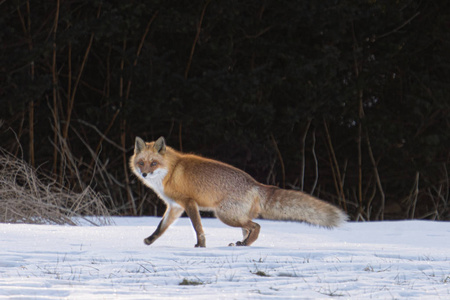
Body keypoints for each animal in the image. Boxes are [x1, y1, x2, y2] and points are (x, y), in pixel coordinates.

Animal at [130, 137, 348, 247]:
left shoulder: (189, 203)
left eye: (153, 163)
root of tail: (255, 183)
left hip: (225, 215)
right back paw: (244, 244)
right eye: (141, 163)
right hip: (235, 217)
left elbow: (198, 228)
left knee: (257, 226)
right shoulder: (175, 206)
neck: (171, 170)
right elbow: (161, 227)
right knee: (249, 228)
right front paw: (149, 241)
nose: (144, 173)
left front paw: (201, 246)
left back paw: (244, 244)